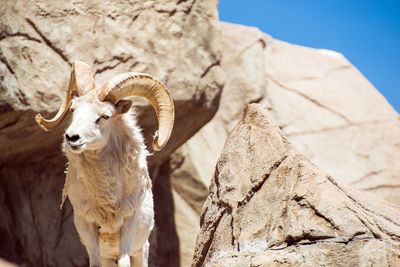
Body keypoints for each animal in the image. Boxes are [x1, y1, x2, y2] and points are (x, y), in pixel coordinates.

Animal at [35, 61, 175, 267]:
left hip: (141, 250)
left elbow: (124, 262)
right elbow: (94, 262)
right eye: (73, 110)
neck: (108, 199)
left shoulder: (129, 221)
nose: (72, 138)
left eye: (105, 116)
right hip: (109, 256)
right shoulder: (88, 224)